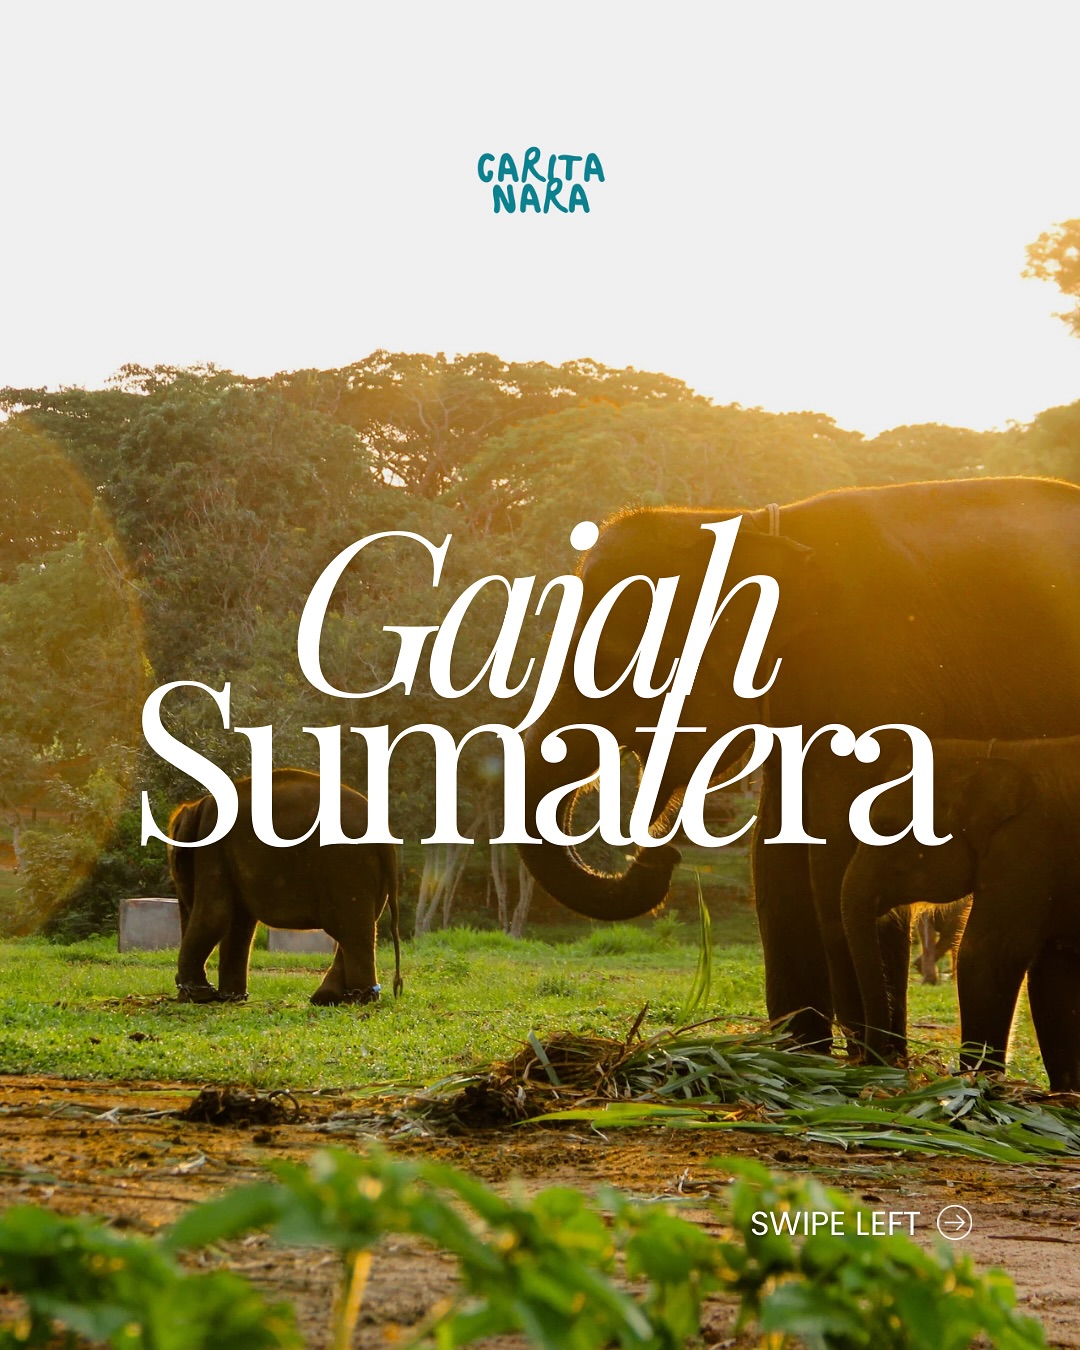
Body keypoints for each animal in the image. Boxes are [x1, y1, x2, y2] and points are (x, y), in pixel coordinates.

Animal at [167, 768, 402, 1006]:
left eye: (176, 865)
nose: (178, 988)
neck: (199, 806)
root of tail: (387, 841)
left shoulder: (213, 849)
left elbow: (216, 915)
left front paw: (200, 997)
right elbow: (238, 922)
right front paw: (230, 998)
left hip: (346, 864)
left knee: (350, 929)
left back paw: (358, 999)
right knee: (357, 926)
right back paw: (330, 998)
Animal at [517, 477, 1080, 1055]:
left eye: (610, 661)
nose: (660, 854)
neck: (746, 525)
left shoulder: (868, 669)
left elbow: (834, 857)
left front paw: (870, 1064)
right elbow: (777, 860)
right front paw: (802, 1058)